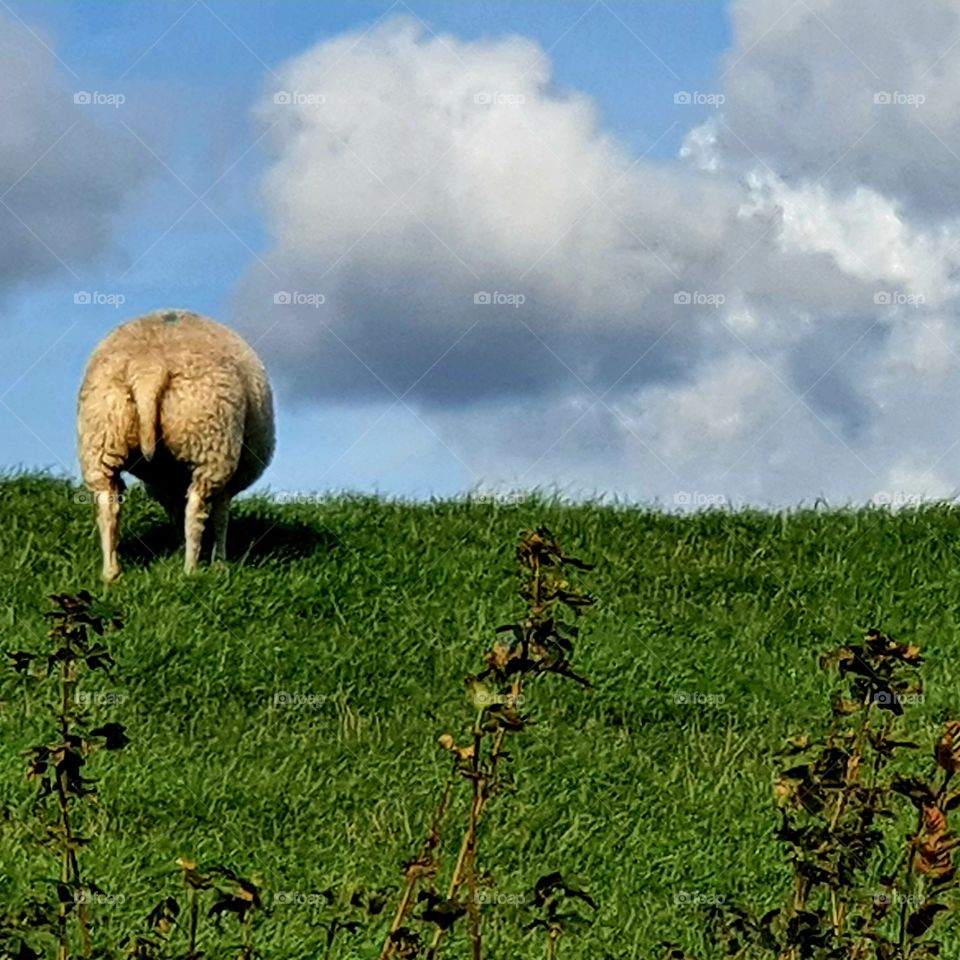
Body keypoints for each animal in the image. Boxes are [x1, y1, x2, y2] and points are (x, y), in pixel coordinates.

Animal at [77, 309, 275, 581]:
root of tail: (148, 366)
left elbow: (176, 513)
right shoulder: (227, 481)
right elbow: (220, 517)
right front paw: (219, 563)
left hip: (101, 438)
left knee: (107, 506)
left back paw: (111, 574)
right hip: (211, 443)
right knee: (196, 509)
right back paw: (190, 570)